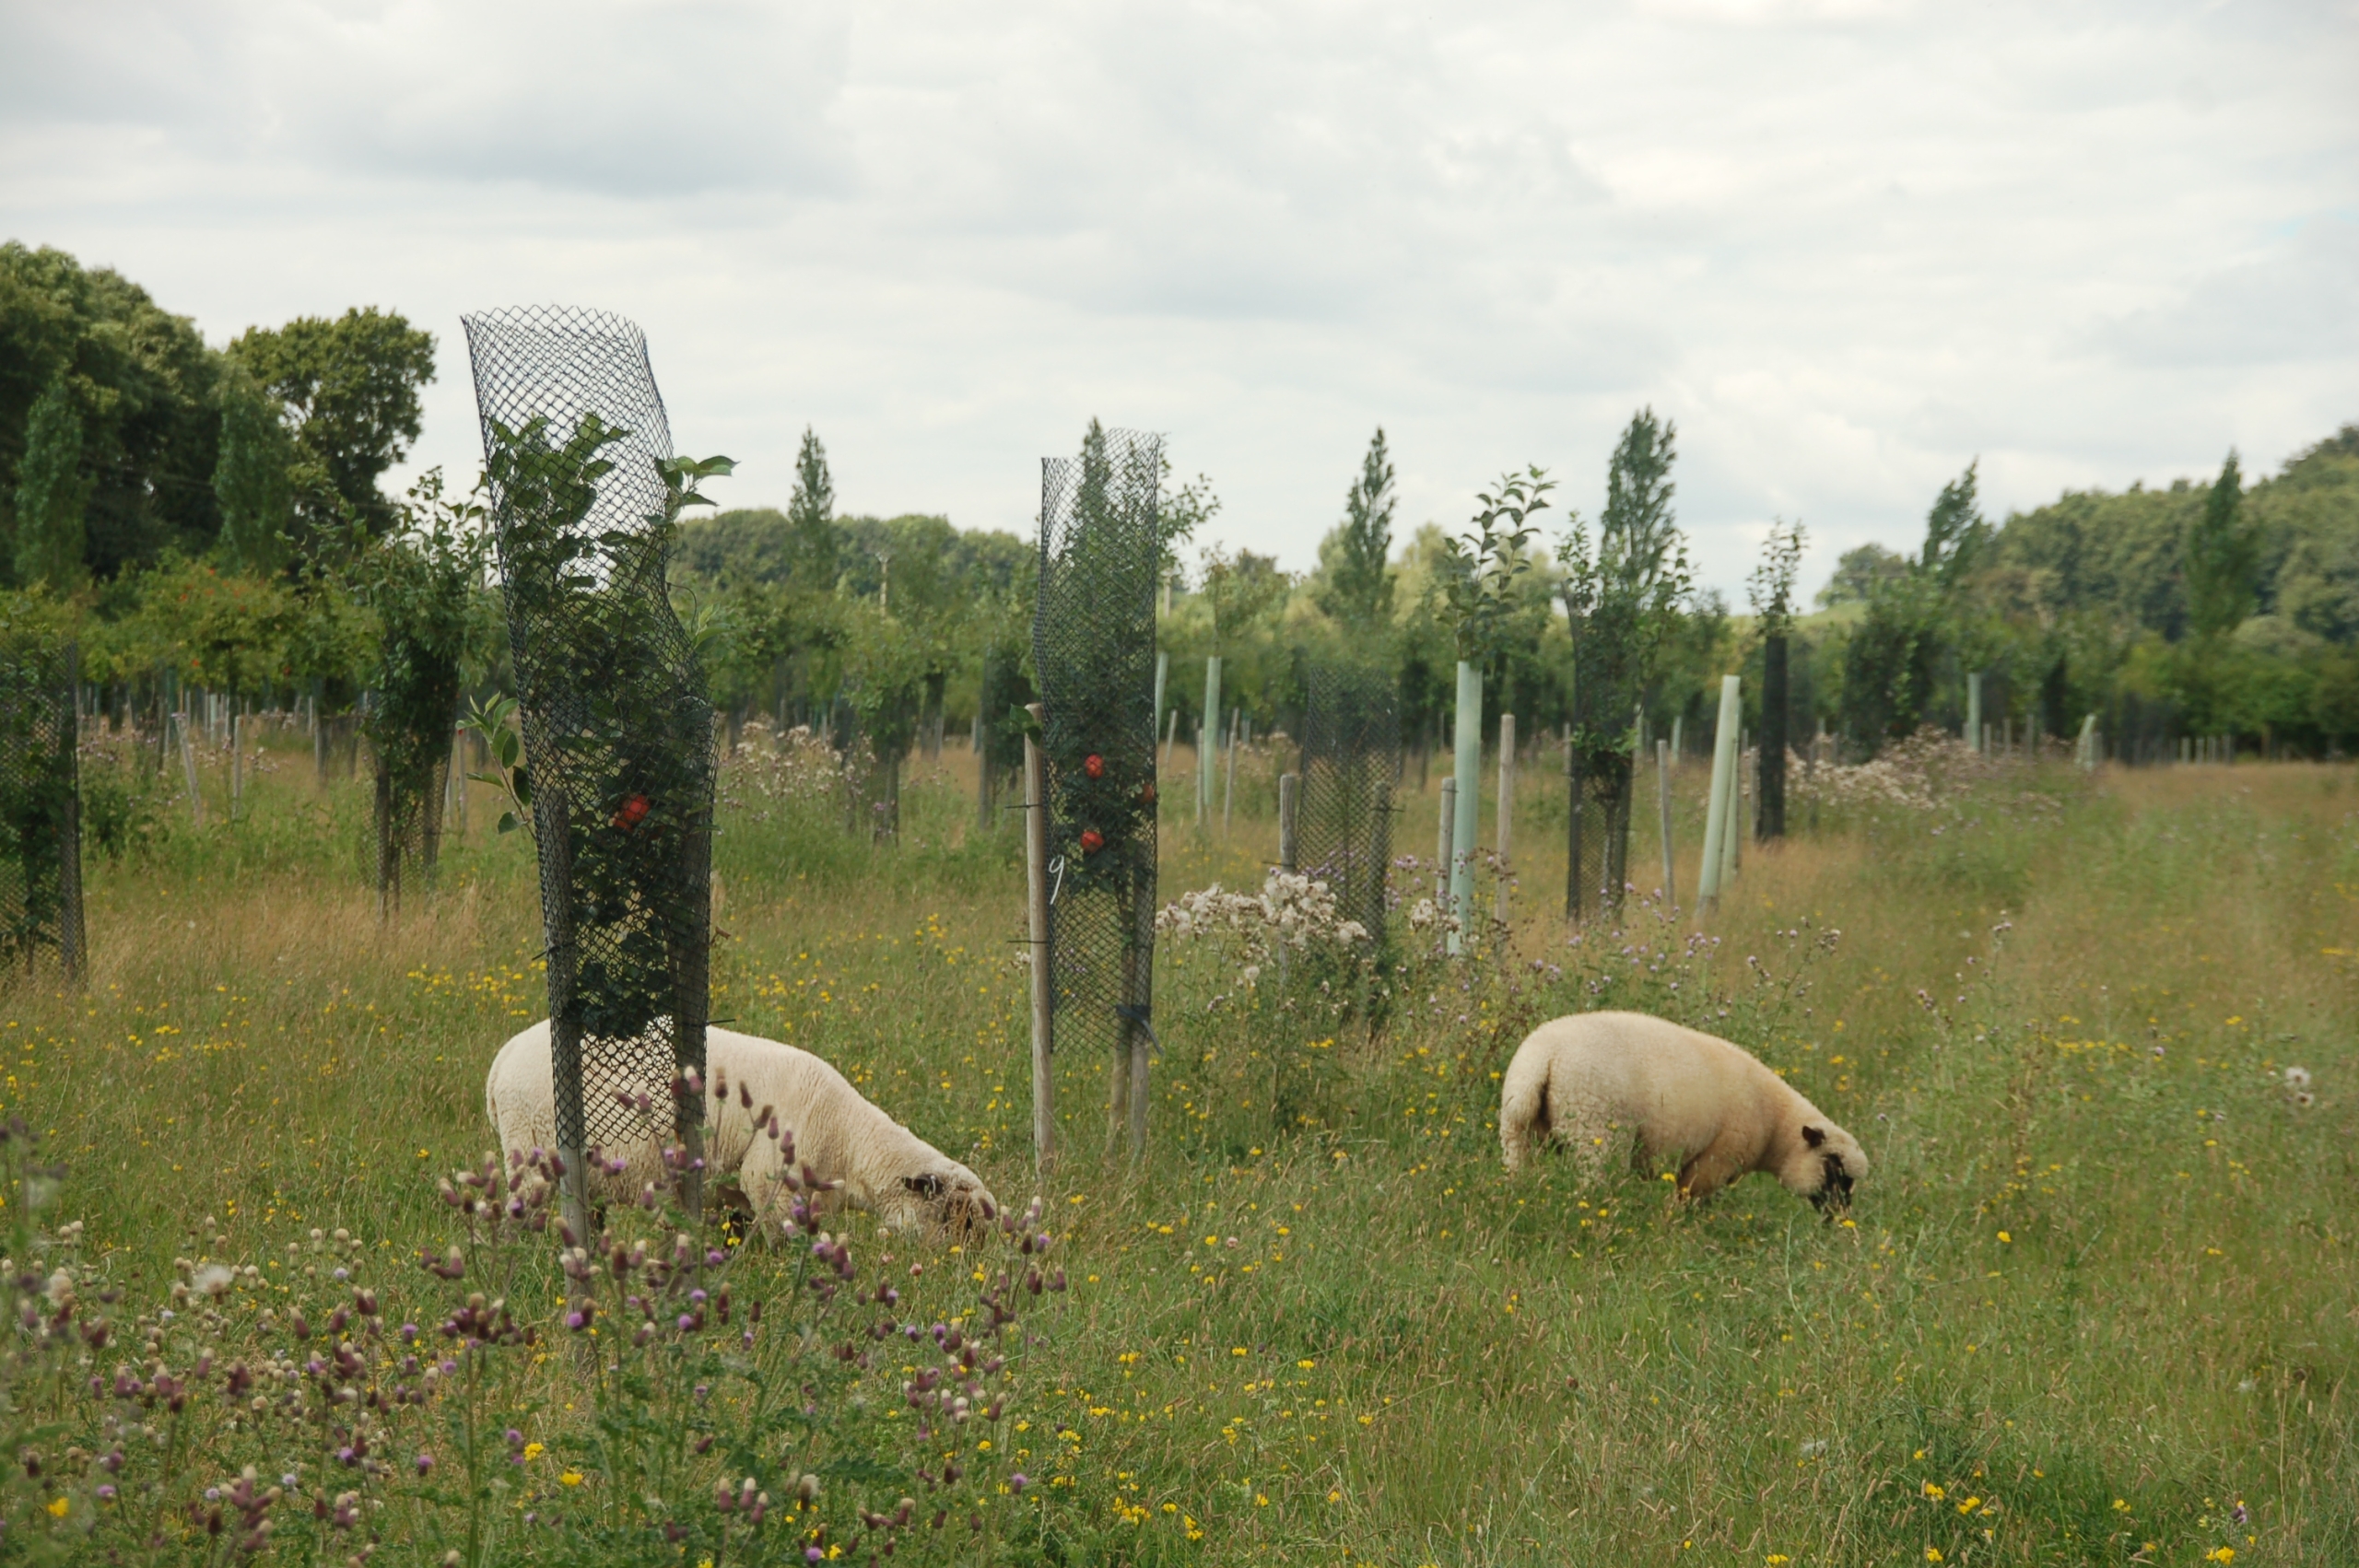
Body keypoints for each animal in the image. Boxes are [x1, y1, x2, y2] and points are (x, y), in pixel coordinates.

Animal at [478, 1023, 995, 1245]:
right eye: (958, 1220)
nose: (965, 1271)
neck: (851, 1142)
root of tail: (501, 1060)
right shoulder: (770, 1186)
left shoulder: (734, 1196)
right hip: (531, 1147)